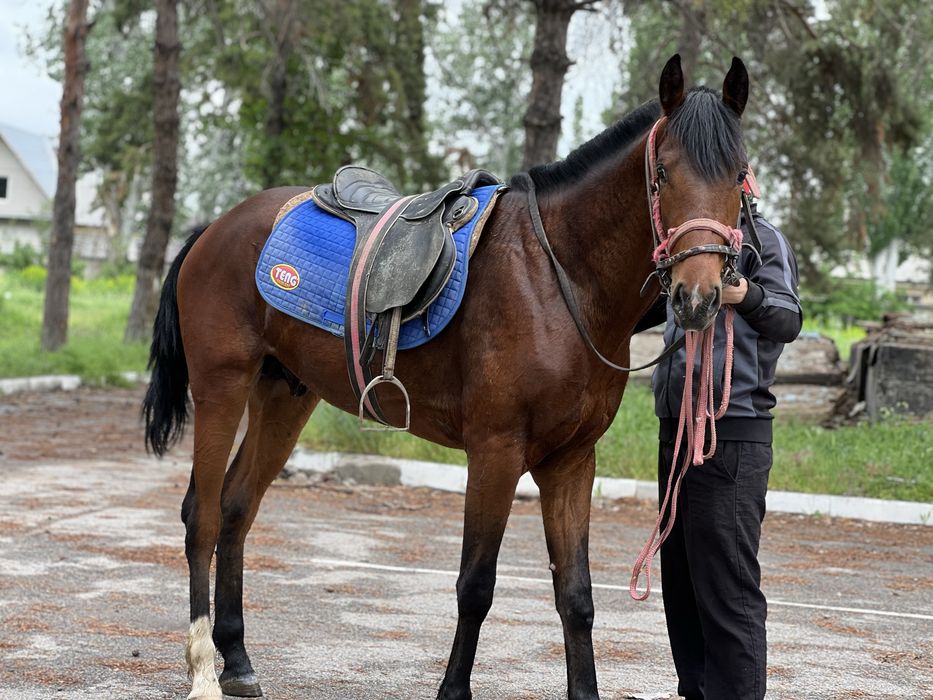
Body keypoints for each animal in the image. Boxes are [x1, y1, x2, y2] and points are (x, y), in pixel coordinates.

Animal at [144, 54, 751, 700]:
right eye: (662, 174)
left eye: (739, 175)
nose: (697, 298)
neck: (557, 278)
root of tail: (215, 229)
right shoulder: (495, 452)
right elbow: (475, 585)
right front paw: (453, 689)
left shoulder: (571, 461)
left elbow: (576, 595)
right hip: (222, 386)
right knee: (203, 515)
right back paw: (203, 668)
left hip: (284, 395)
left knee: (237, 507)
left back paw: (236, 658)